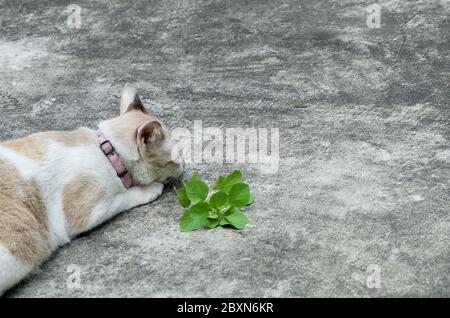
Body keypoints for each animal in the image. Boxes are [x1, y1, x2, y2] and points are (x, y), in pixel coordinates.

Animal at [0, 85, 185, 294]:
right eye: (177, 156)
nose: (184, 166)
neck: (109, 151)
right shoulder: (85, 212)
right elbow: (123, 197)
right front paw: (150, 189)